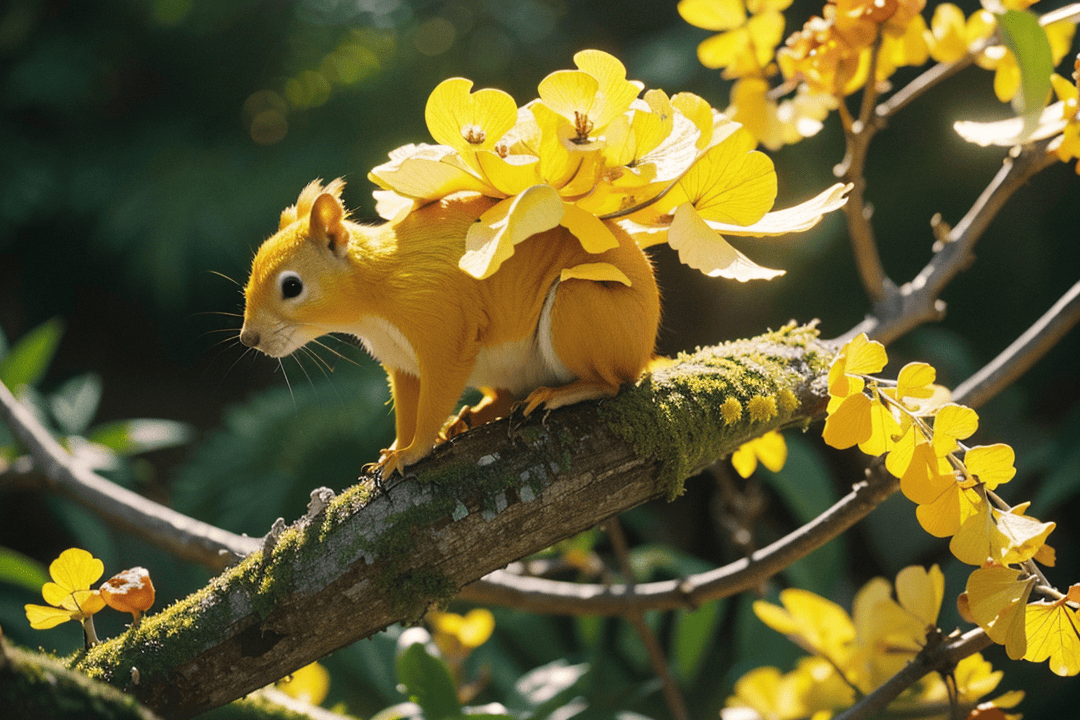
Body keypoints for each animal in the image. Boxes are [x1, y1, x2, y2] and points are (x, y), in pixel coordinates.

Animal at [240, 177, 656, 474]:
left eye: (292, 287)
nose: (249, 339)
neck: (373, 295)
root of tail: (642, 350)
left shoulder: (439, 326)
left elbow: (432, 400)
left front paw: (413, 453)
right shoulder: (402, 362)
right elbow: (407, 409)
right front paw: (395, 450)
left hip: (578, 307)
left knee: (610, 382)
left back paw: (561, 393)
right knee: (504, 395)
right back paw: (474, 416)